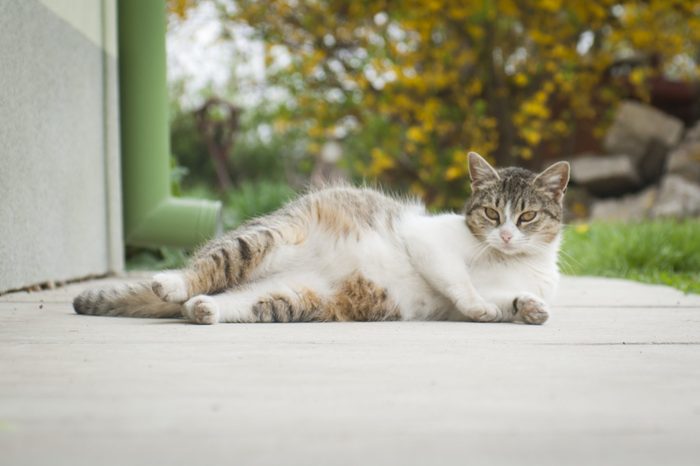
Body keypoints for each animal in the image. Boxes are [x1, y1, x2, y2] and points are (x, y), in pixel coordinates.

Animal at [74, 152, 572, 324]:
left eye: (526, 216)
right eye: (491, 213)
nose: (505, 235)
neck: (507, 262)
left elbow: (508, 300)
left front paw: (529, 309)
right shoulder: (428, 240)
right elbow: (459, 282)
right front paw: (480, 304)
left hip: (289, 297)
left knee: (225, 299)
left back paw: (203, 310)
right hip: (264, 239)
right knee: (204, 268)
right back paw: (173, 284)